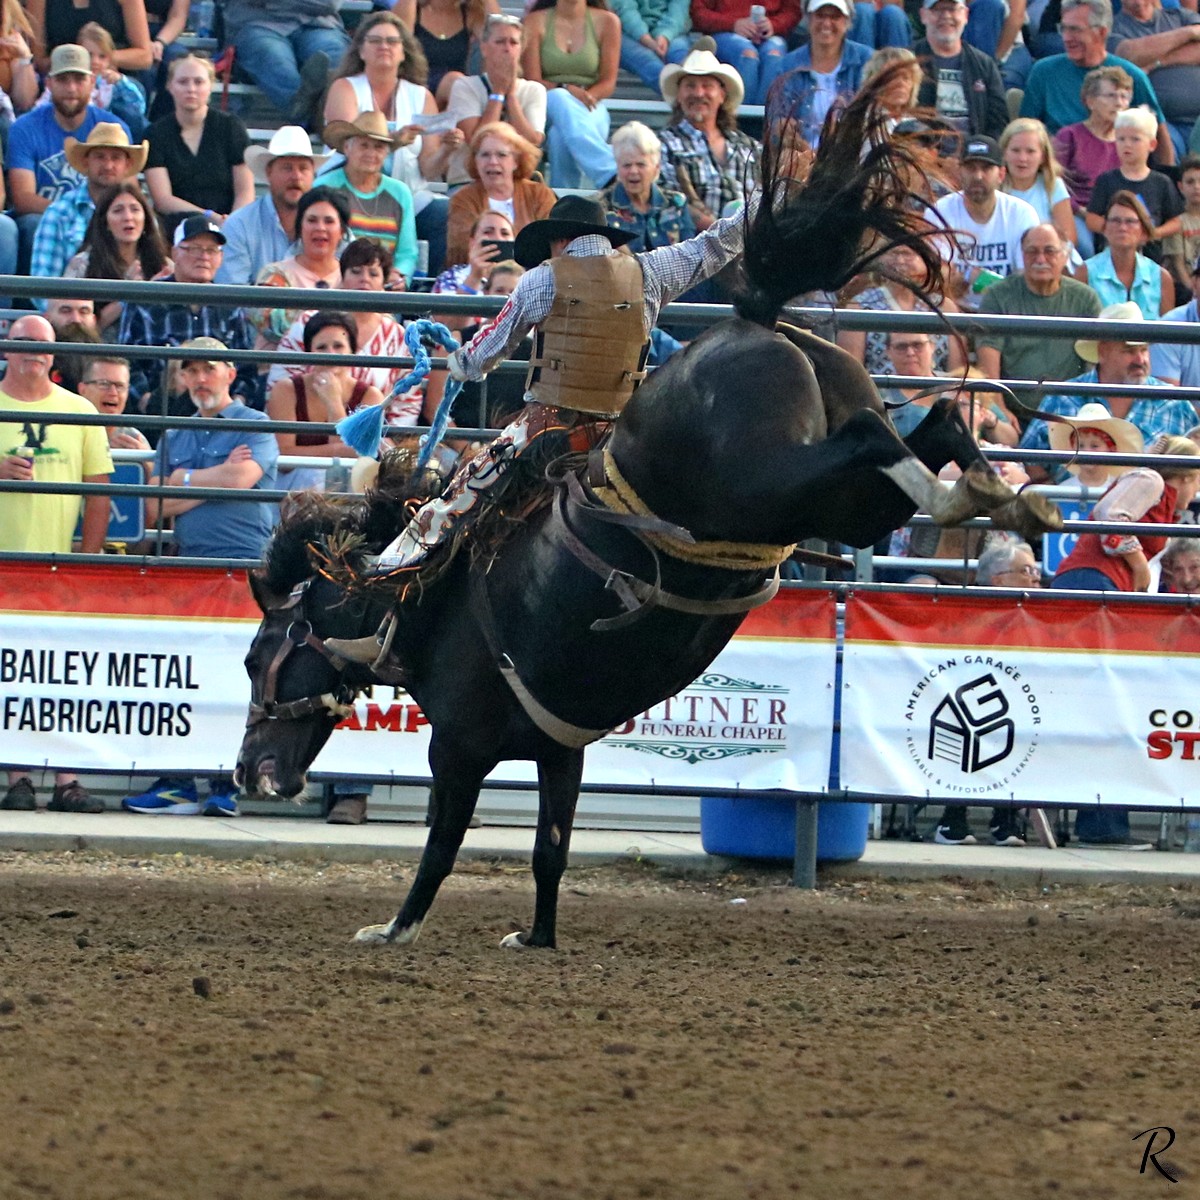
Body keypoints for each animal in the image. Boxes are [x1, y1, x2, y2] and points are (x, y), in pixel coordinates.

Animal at [236, 82, 1060, 950]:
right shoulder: (558, 749)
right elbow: (551, 848)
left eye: (257, 658)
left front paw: (395, 929)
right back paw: (999, 493)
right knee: (930, 428)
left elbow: (442, 845)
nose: (249, 772)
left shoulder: (458, 746)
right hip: (832, 494)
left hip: (773, 485)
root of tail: (759, 323)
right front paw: (538, 938)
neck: (415, 602)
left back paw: (980, 494)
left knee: (878, 436)